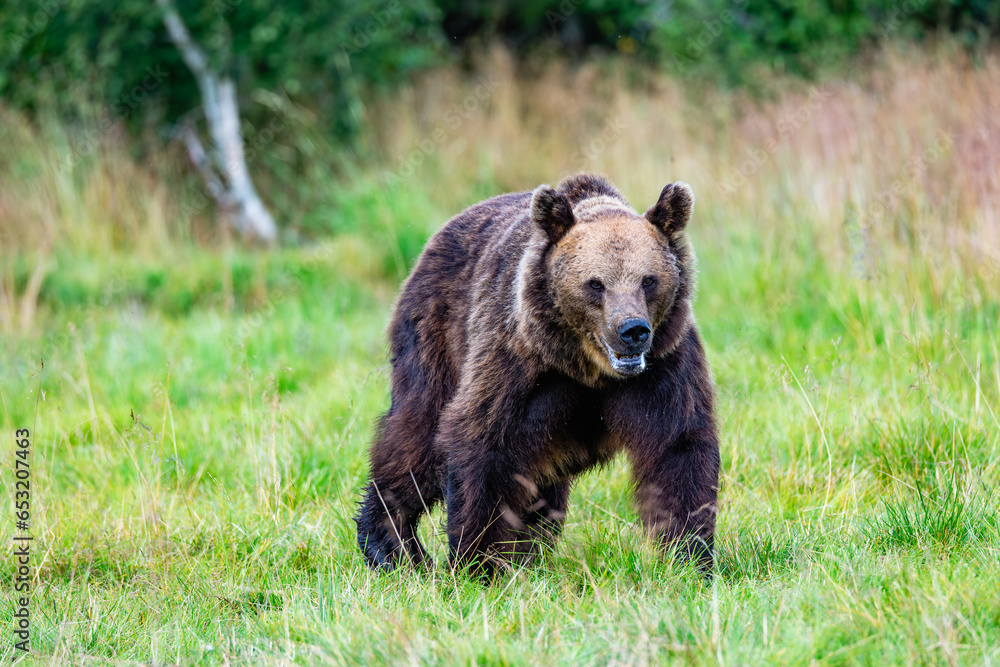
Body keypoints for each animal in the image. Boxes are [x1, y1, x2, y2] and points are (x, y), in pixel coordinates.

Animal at [358, 175, 720, 576]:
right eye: (596, 283)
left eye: (648, 280)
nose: (632, 330)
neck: (586, 367)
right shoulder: (517, 361)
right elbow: (483, 444)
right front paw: (477, 562)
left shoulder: (664, 364)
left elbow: (678, 449)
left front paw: (691, 557)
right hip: (436, 336)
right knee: (415, 437)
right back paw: (390, 545)